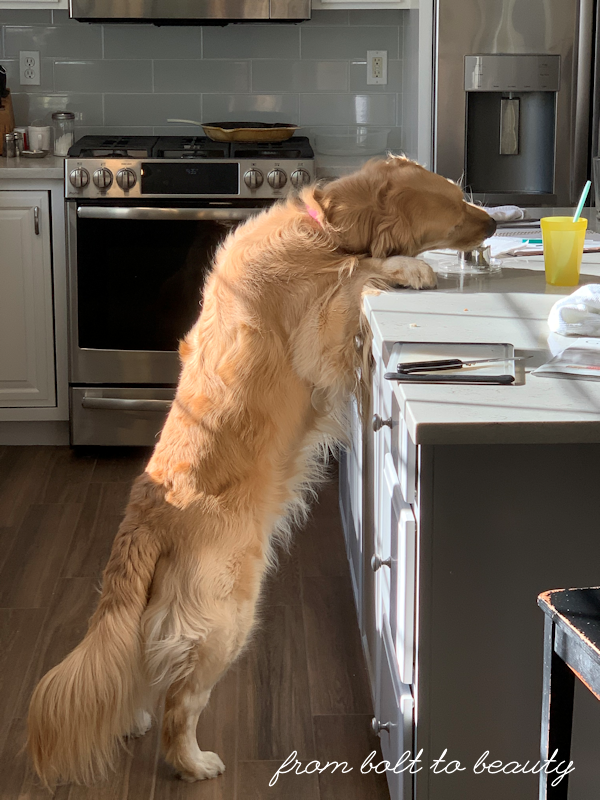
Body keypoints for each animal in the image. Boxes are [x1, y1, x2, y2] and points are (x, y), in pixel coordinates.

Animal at [25, 156, 494, 788]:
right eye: (454, 203)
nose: (494, 221)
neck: (324, 228)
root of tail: (145, 518)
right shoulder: (320, 330)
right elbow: (359, 273)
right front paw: (409, 268)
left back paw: (132, 718)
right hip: (227, 616)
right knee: (180, 702)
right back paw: (193, 761)